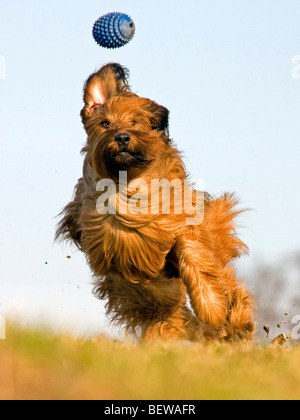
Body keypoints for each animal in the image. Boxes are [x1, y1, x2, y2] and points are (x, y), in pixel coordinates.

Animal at [55, 64, 254, 342]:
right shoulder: (116, 259)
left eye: (134, 122)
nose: (122, 138)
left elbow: (191, 251)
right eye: (104, 123)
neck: (128, 186)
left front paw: (212, 307)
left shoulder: (184, 224)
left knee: (223, 277)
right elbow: (151, 288)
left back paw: (235, 321)